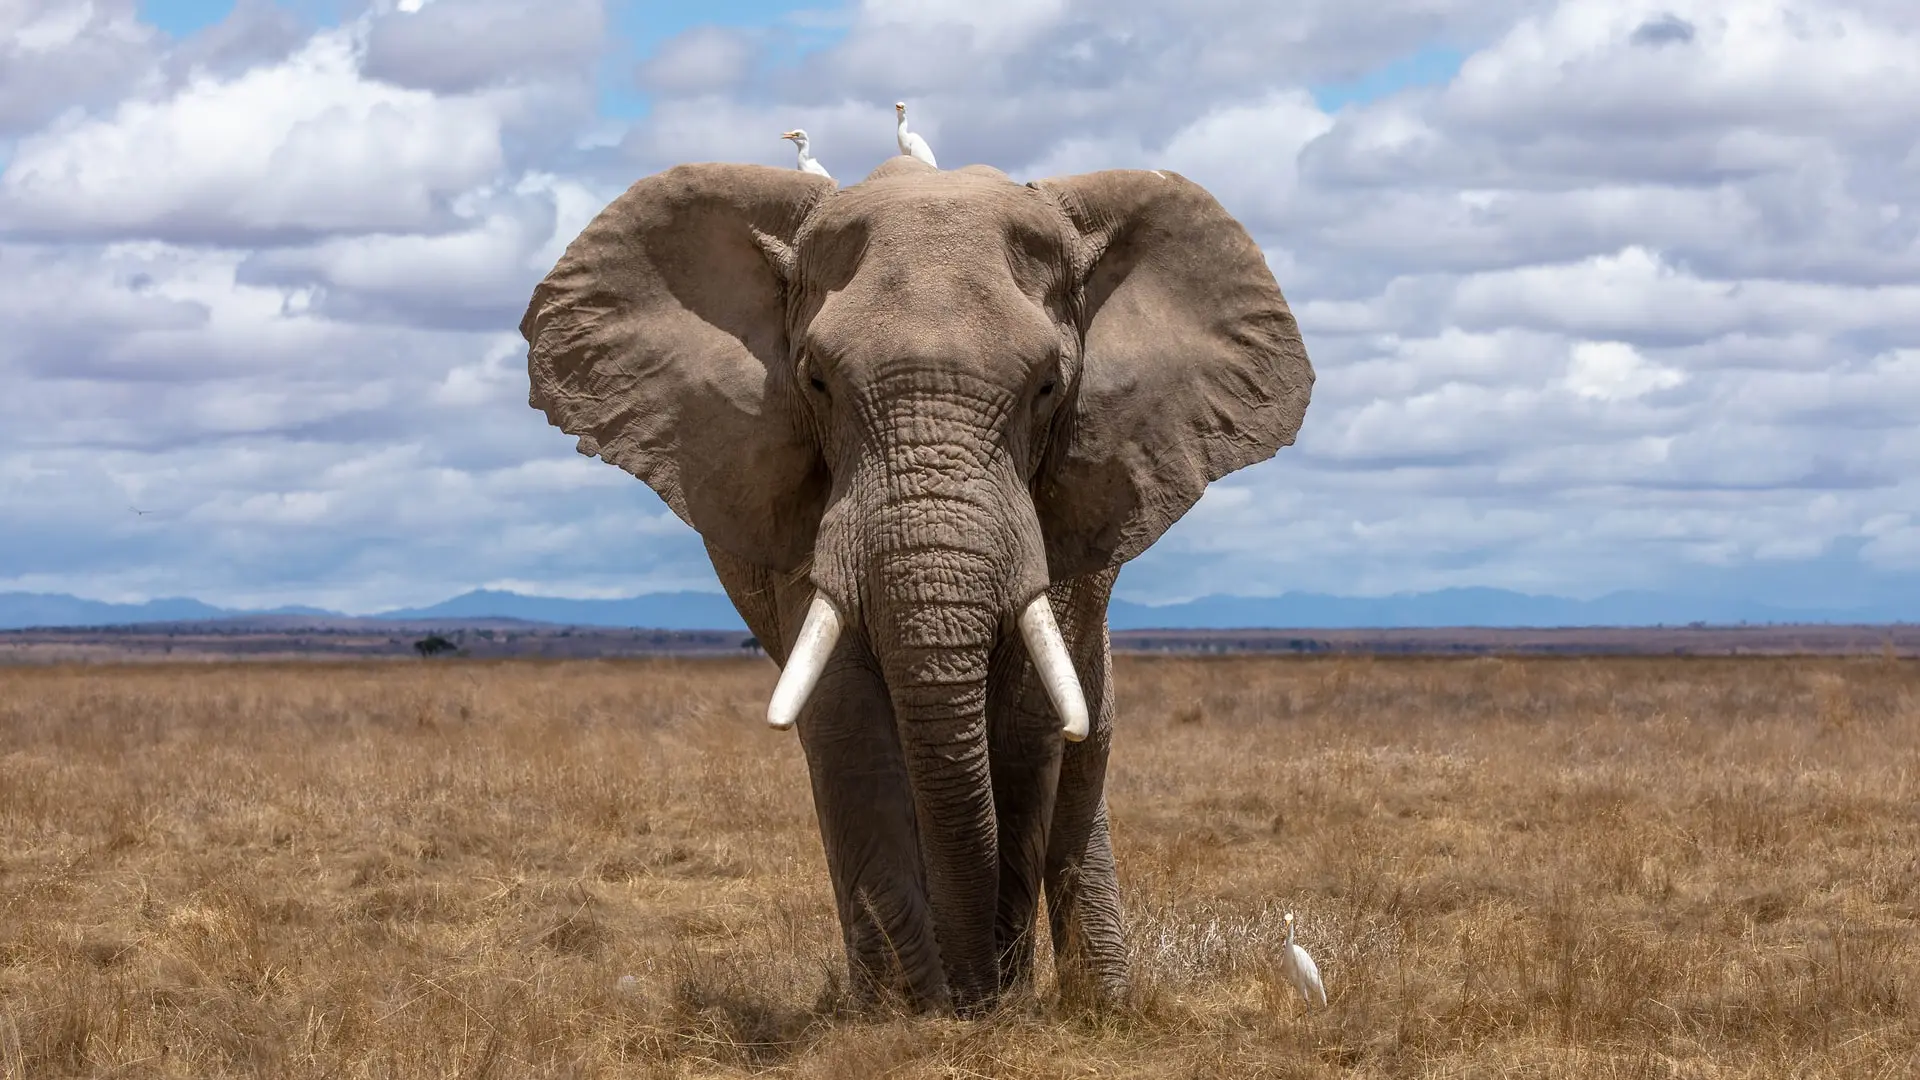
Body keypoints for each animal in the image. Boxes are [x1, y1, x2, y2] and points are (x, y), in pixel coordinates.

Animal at [518, 155, 1314, 1015]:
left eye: (1047, 387)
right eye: (817, 382)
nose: (973, 995)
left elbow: (1028, 722)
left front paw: (992, 1003)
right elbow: (845, 718)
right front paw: (907, 1014)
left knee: (1083, 746)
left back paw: (1101, 1003)